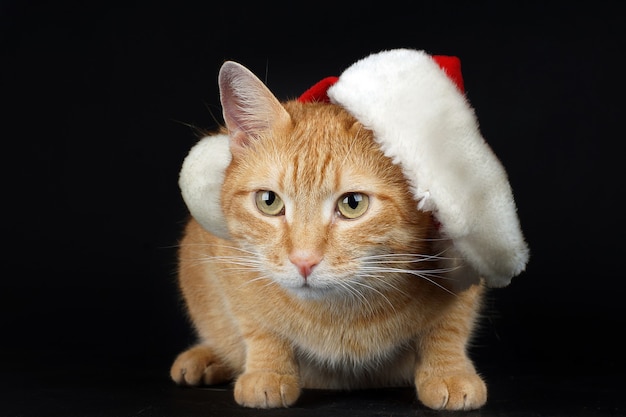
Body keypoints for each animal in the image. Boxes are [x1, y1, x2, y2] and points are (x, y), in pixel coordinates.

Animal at [171, 57, 488, 410]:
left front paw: (448, 371)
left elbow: (449, 327)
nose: (303, 261)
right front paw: (268, 371)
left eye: (353, 204)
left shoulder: (467, 261)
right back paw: (204, 358)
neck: (338, 315)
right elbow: (259, 326)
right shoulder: (228, 265)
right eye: (269, 201)